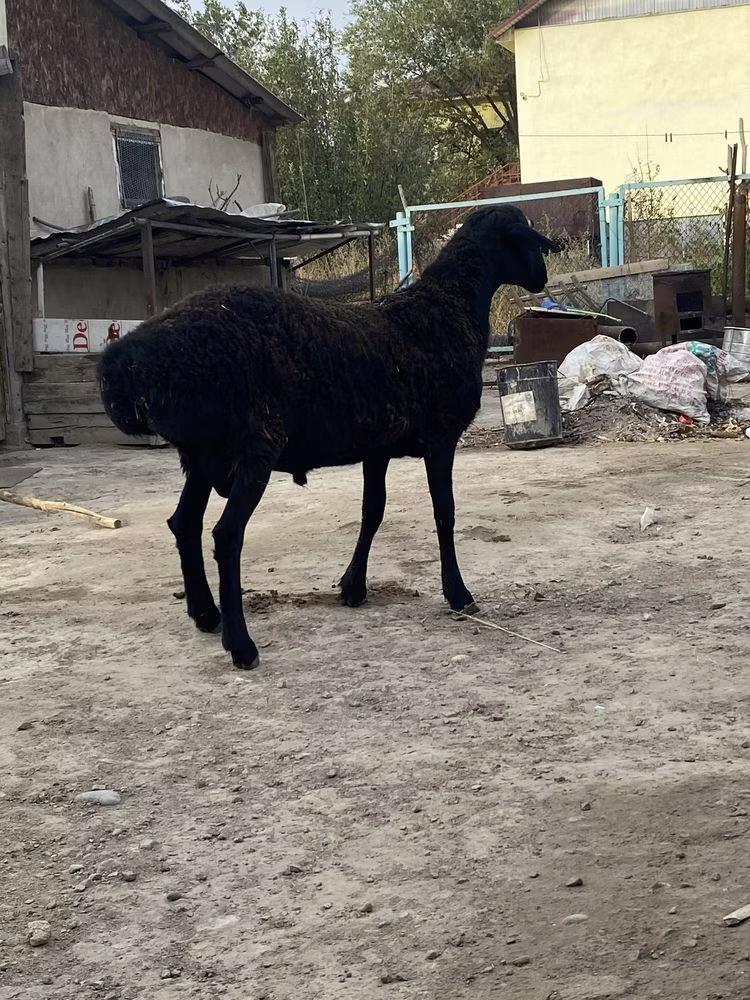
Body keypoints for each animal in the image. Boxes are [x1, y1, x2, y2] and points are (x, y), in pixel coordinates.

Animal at [97, 204, 560, 670]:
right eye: (526, 239)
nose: (542, 279)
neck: (448, 308)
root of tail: (127, 360)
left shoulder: (378, 446)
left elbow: (372, 512)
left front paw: (353, 586)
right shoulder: (441, 435)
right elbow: (444, 513)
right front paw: (458, 593)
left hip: (204, 454)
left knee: (184, 523)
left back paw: (206, 615)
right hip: (253, 447)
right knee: (226, 536)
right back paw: (241, 645)